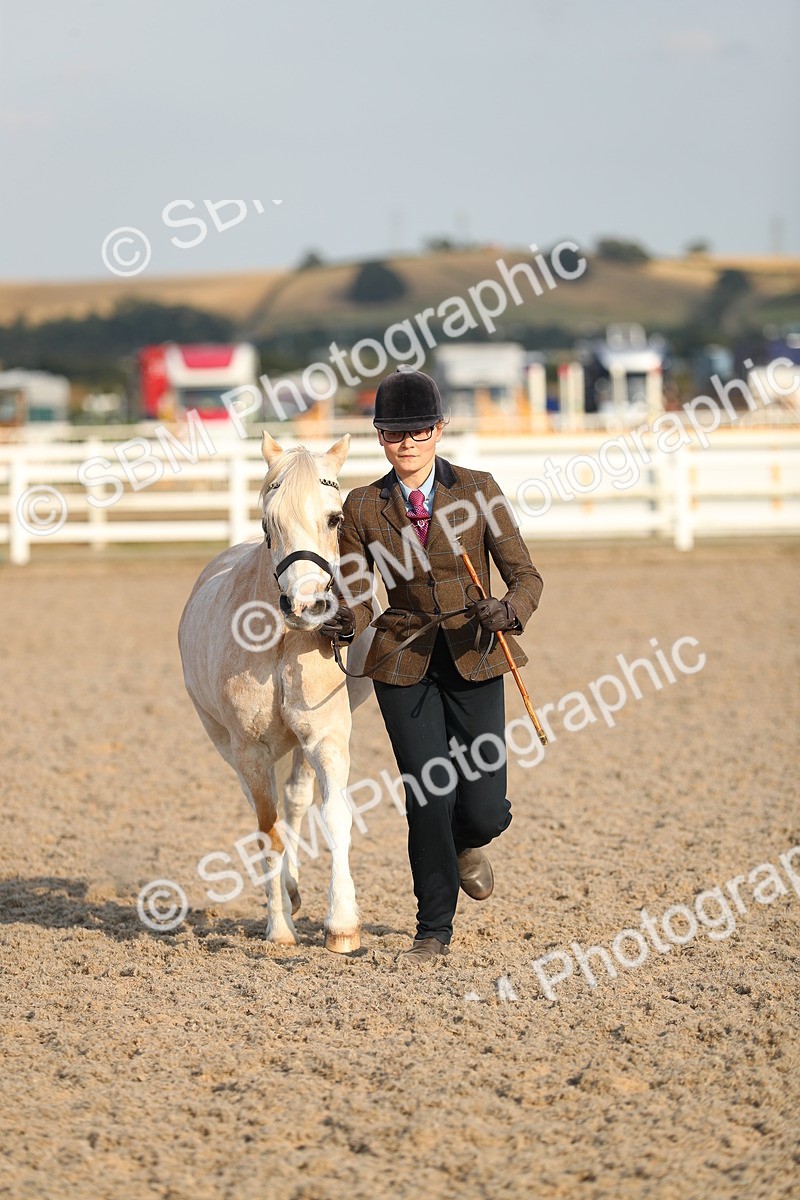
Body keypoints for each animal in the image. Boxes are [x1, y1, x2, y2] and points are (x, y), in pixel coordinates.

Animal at [178, 431, 377, 952]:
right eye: (270, 523)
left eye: (335, 518)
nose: (307, 606)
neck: (284, 638)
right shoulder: (249, 749)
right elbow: (268, 834)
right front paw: (280, 928)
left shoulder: (326, 739)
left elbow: (335, 817)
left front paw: (342, 925)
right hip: (226, 743)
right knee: (262, 808)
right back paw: (286, 893)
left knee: (296, 799)